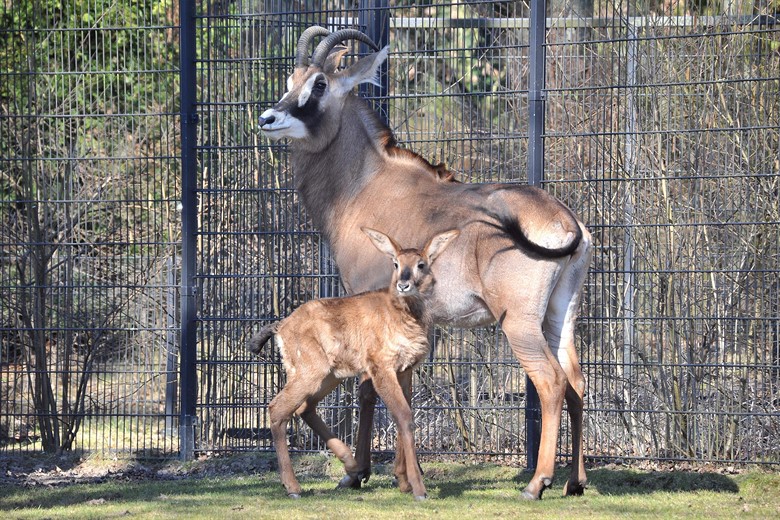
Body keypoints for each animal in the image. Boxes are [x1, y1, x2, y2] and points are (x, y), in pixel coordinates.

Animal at [248, 226, 458, 500]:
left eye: (421, 264)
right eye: (396, 263)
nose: (403, 285)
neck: (406, 314)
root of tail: (281, 326)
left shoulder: (405, 370)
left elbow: (406, 416)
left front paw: (403, 482)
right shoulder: (381, 367)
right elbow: (404, 416)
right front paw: (418, 488)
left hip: (330, 376)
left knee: (304, 408)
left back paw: (351, 464)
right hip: (310, 372)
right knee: (278, 409)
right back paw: (293, 487)